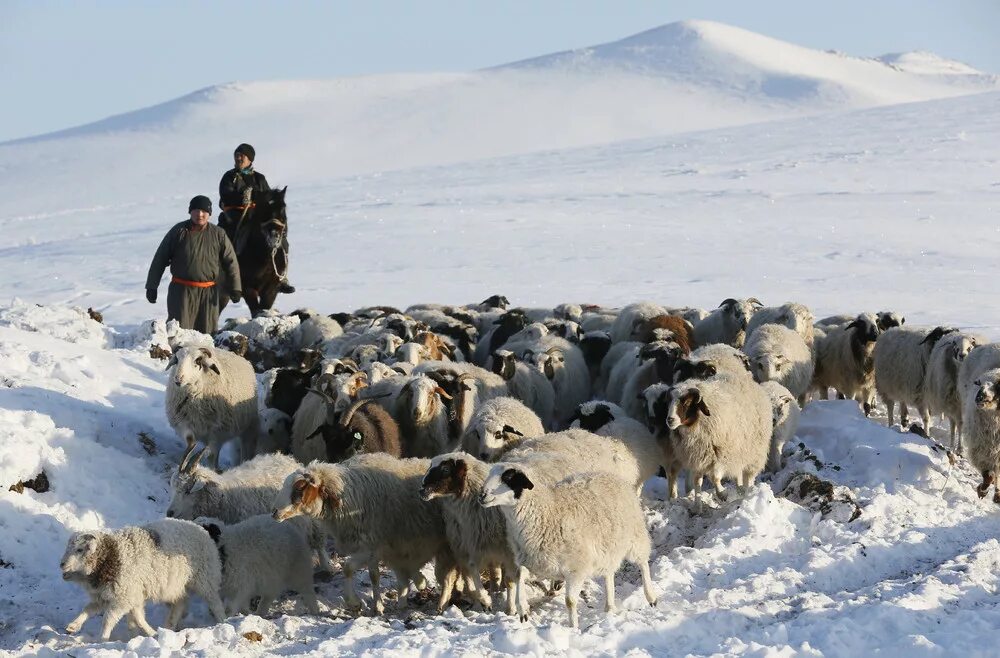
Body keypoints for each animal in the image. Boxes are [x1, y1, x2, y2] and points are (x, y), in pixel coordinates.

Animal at [60, 516, 225, 636]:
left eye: (80, 549)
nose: (61, 564)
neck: (111, 556)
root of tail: (201, 528)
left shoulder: (124, 597)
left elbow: (108, 620)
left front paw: (103, 639)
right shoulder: (112, 596)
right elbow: (89, 609)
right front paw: (73, 626)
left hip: (206, 578)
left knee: (215, 603)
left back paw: (222, 622)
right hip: (175, 587)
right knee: (180, 602)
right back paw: (169, 625)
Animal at [274, 454, 460, 612]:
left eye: (299, 489)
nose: (274, 512)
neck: (349, 495)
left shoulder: (372, 545)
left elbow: (362, 572)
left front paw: (368, 604)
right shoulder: (372, 546)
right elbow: (362, 572)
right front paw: (363, 603)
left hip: (449, 545)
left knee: (448, 577)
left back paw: (442, 603)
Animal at [420, 452, 520, 608]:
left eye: (446, 469)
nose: (422, 488)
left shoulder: (508, 551)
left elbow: (510, 580)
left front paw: (511, 608)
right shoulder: (467, 546)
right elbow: (471, 572)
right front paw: (485, 599)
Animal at [478, 462, 656, 624]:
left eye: (508, 477)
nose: (481, 496)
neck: (547, 512)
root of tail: (610, 475)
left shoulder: (576, 569)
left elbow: (570, 602)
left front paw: (573, 627)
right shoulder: (532, 561)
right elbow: (519, 575)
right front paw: (522, 609)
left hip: (635, 537)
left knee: (643, 562)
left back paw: (651, 597)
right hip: (607, 547)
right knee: (609, 573)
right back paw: (609, 606)